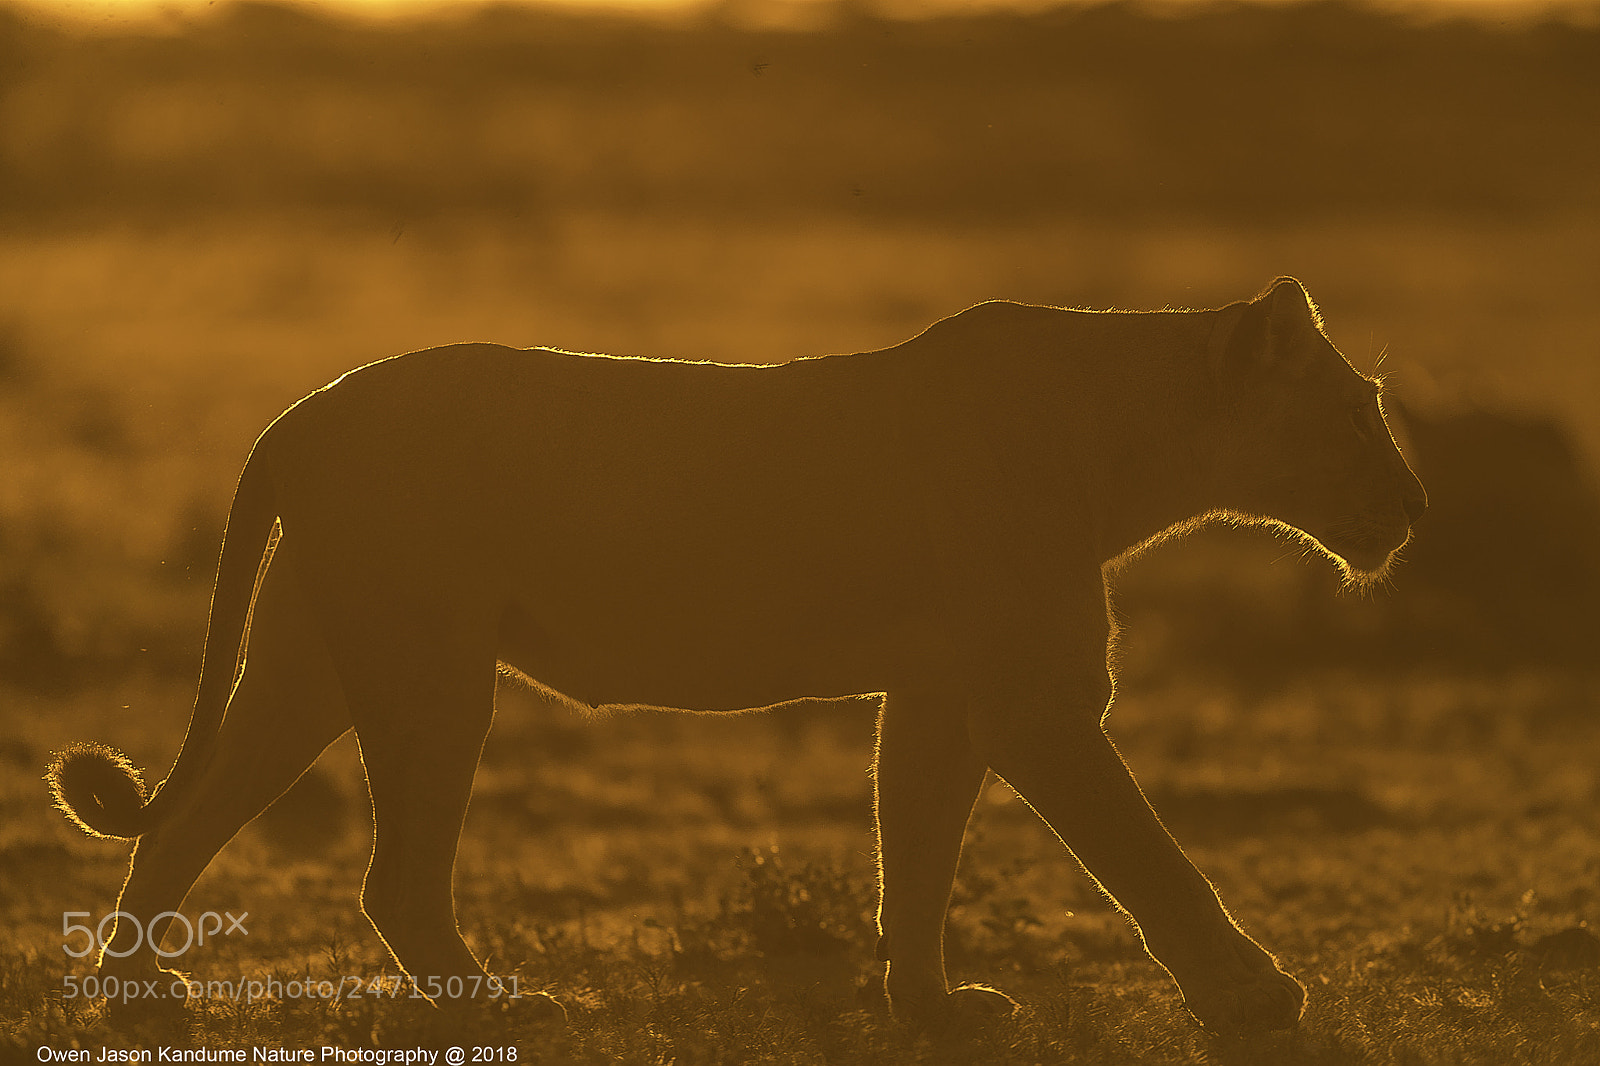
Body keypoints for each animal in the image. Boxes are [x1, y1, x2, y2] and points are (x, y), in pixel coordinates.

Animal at [48, 277, 1425, 1035]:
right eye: (1358, 414)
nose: (1416, 506)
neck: (1129, 434)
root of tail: (299, 409)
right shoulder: (1034, 699)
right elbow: (1149, 858)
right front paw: (1252, 997)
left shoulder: (940, 692)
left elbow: (918, 851)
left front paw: (931, 1012)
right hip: (429, 669)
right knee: (393, 877)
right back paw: (503, 1006)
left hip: (313, 665)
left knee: (185, 822)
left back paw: (141, 994)